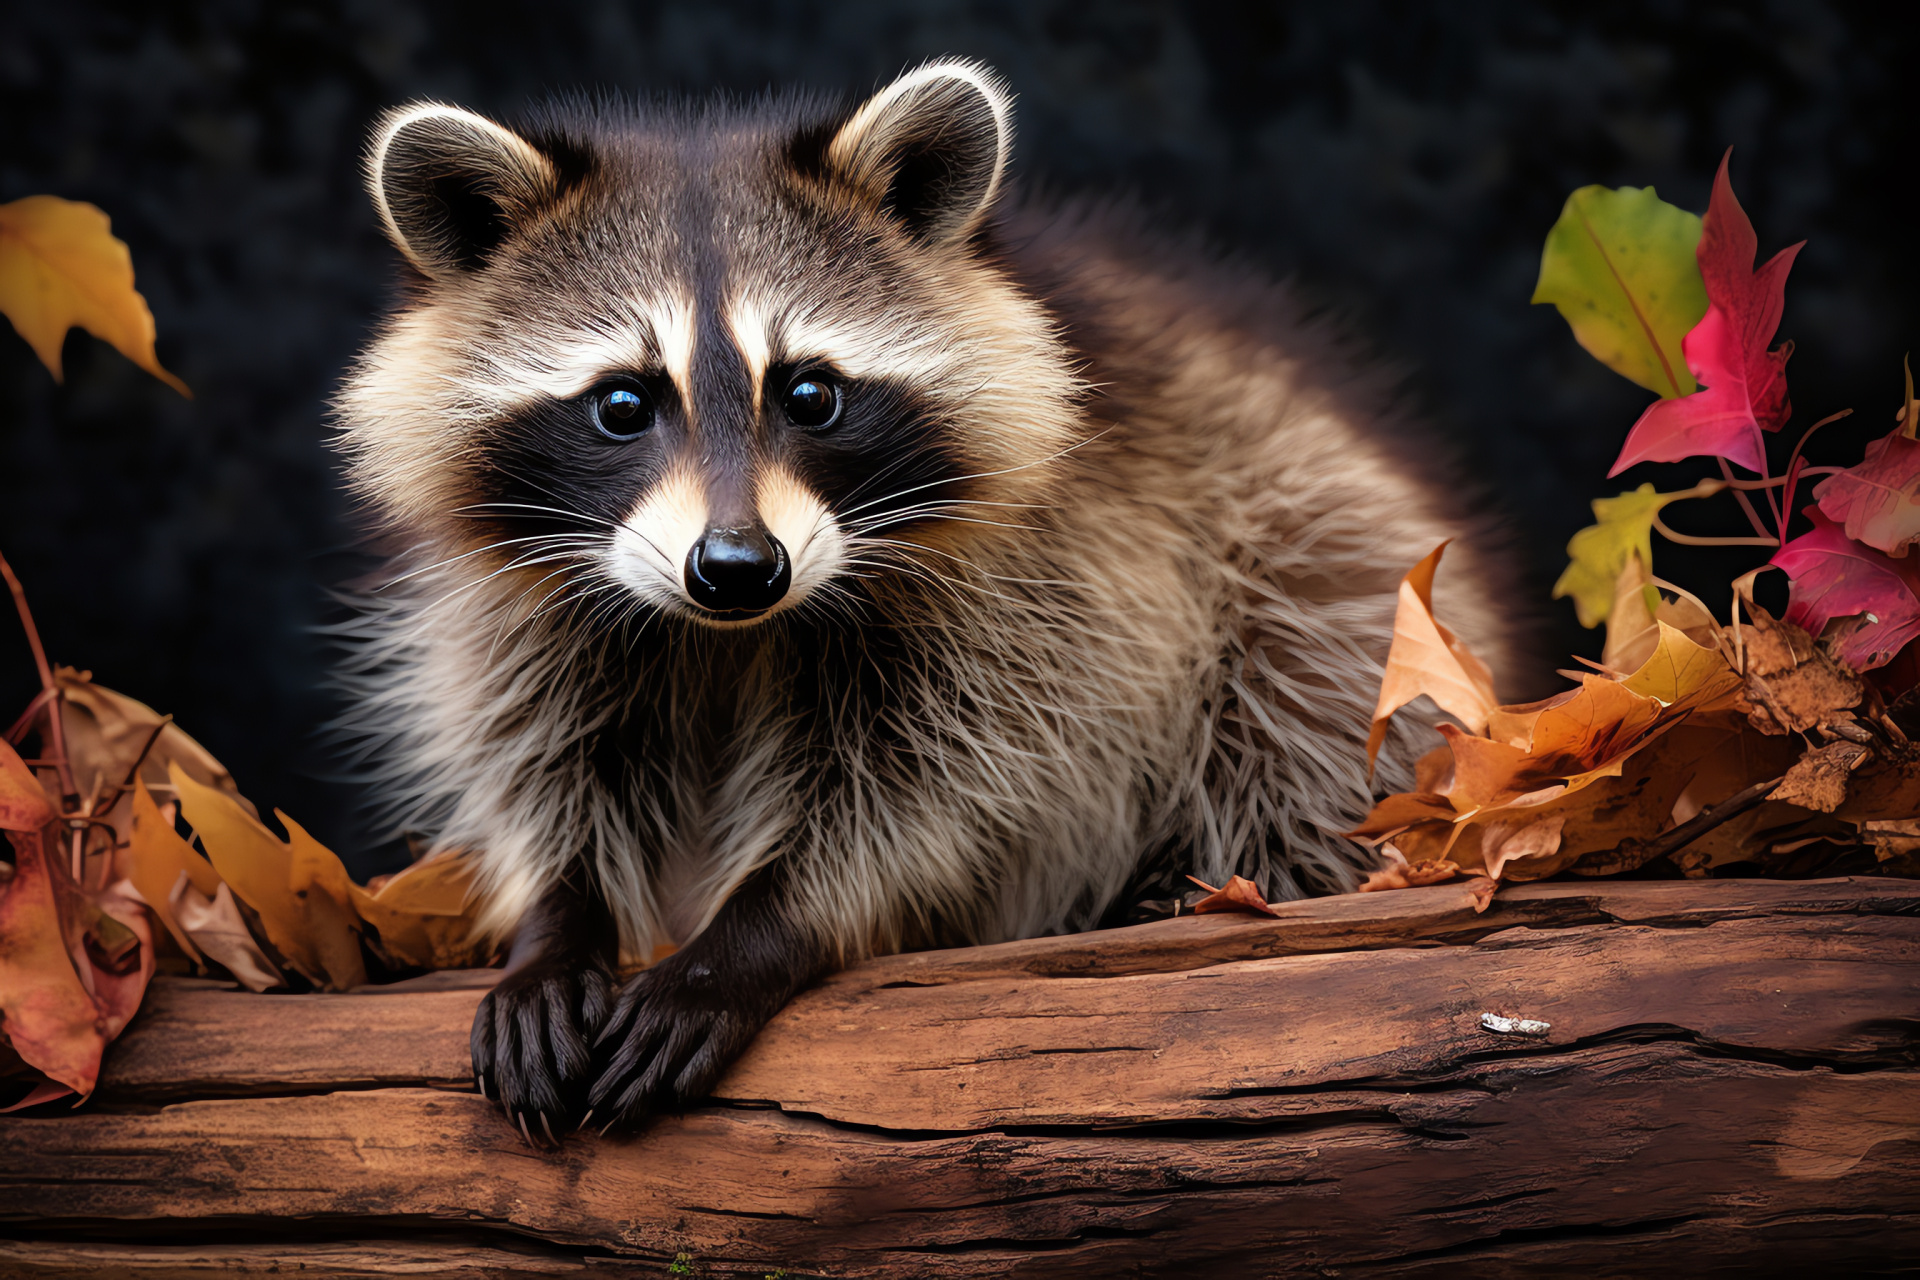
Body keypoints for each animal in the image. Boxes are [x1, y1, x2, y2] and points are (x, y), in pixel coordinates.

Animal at [334, 59, 1512, 1143]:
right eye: (622, 403)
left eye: (810, 392)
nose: (738, 566)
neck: (734, 635)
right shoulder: (531, 603)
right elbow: (545, 757)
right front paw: (555, 922)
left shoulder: (1046, 580)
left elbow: (938, 791)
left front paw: (751, 936)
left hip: (1315, 537)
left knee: (1298, 704)